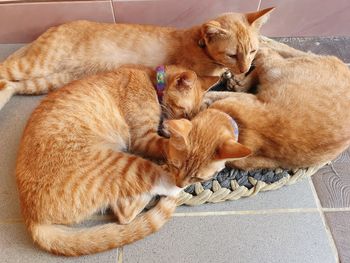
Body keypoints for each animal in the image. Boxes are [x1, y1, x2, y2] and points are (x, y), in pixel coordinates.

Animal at [0, 7, 274, 110]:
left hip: (49, 79)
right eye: (232, 54)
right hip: (34, 64)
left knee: (12, 85)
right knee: (4, 69)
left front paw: (237, 78)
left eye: (252, 51)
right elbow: (213, 91)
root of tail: (53, 28)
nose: (245, 67)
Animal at [15, 65, 252, 256]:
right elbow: (170, 145)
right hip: (126, 164)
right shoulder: (145, 139)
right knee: (135, 207)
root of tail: (30, 216)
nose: (180, 123)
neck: (150, 79)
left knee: (123, 210)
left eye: (193, 116)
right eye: (184, 113)